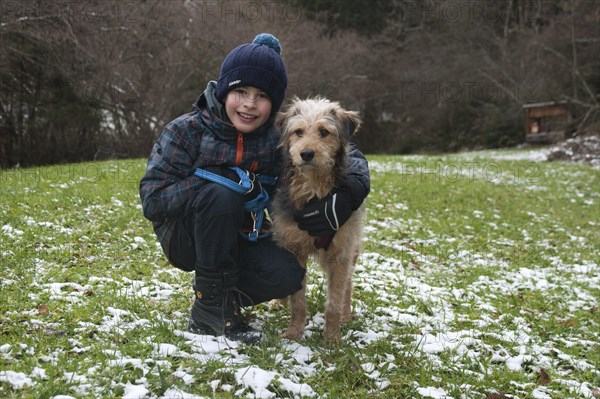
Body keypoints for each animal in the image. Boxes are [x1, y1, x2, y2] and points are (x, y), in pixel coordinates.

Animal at [272, 97, 366, 344]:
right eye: (298, 132)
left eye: (324, 132)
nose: (306, 153)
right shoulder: (294, 249)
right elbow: (297, 300)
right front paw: (294, 333)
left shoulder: (341, 253)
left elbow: (334, 302)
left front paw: (332, 339)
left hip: (352, 249)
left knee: (348, 284)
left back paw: (346, 315)